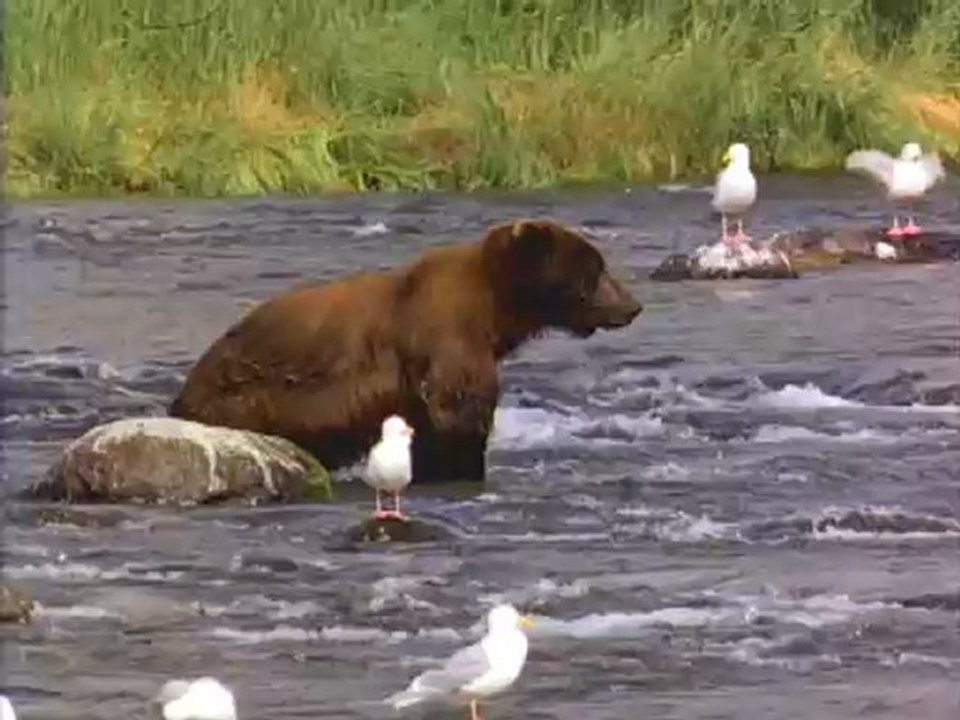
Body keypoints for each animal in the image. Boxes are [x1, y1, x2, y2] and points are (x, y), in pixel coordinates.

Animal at [169, 218, 643, 484]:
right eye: (596, 270)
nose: (633, 305)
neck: (495, 310)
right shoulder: (446, 339)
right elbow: (458, 416)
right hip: (255, 397)